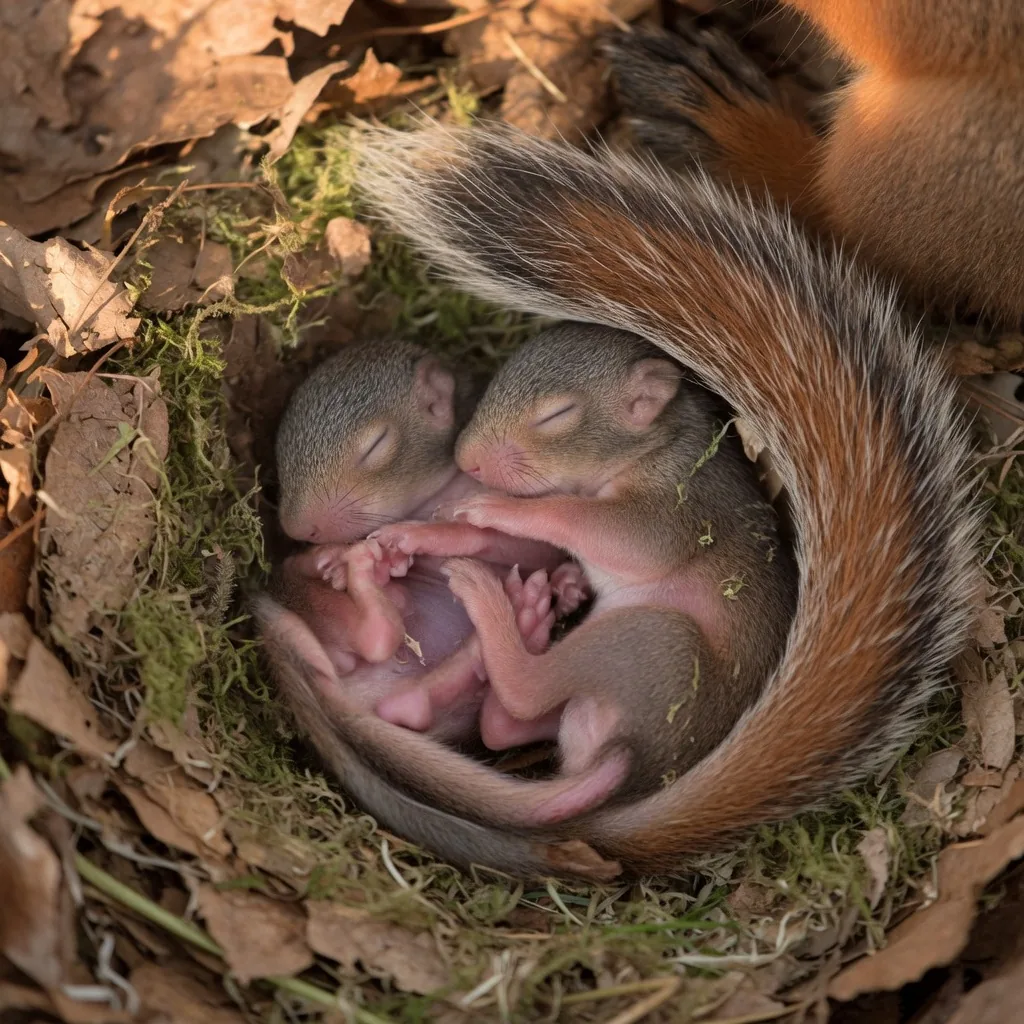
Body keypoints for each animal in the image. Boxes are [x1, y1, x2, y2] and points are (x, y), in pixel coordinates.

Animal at [345, 121, 979, 875]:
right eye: (496, 378)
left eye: (557, 415)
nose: (468, 462)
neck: (649, 449)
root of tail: (638, 763)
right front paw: (420, 536)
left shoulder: (680, 506)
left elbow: (610, 530)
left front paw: (499, 511)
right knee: (504, 723)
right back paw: (522, 615)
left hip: (652, 646)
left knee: (529, 688)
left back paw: (496, 609)